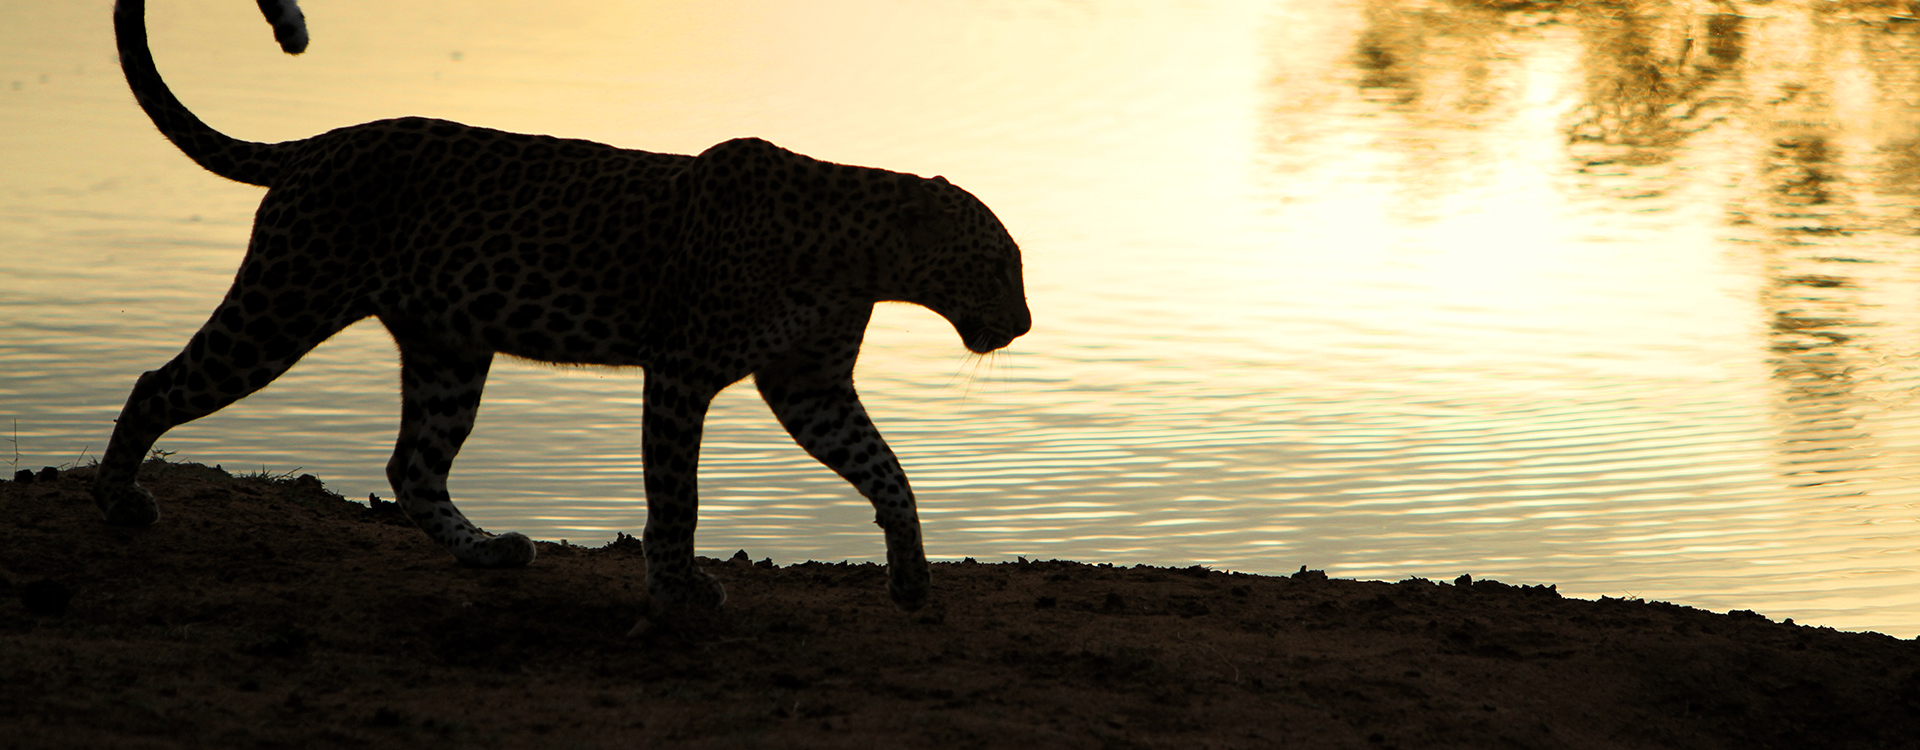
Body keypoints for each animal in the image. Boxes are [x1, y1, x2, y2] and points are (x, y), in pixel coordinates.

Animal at [95, 0, 1031, 622]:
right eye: (1000, 263)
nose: (1023, 324)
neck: (856, 255)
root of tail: (317, 144)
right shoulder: (681, 373)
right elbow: (677, 494)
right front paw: (677, 588)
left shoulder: (811, 385)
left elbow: (887, 470)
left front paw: (910, 578)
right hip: (284, 302)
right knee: (156, 384)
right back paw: (117, 502)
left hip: (448, 347)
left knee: (413, 466)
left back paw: (488, 550)